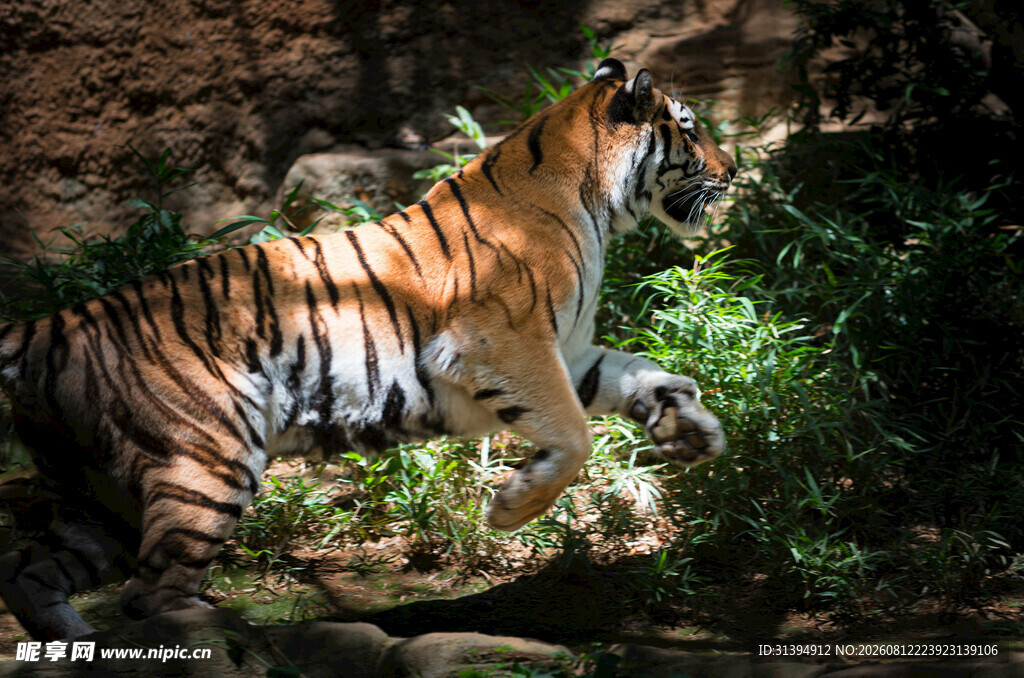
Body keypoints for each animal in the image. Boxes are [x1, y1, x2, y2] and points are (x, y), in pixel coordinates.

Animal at [0, 58, 735, 640]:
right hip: (205, 460)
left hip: (103, 489)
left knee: (30, 575)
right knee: (147, 594)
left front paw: (693, 430)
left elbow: (637, 375)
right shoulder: (503, 341)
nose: (735, 170)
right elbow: (575, 435)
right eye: (690, 126)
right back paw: (221, 629)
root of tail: (53, 324)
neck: (593, 197)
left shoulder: (567, 349)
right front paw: (510, 509)